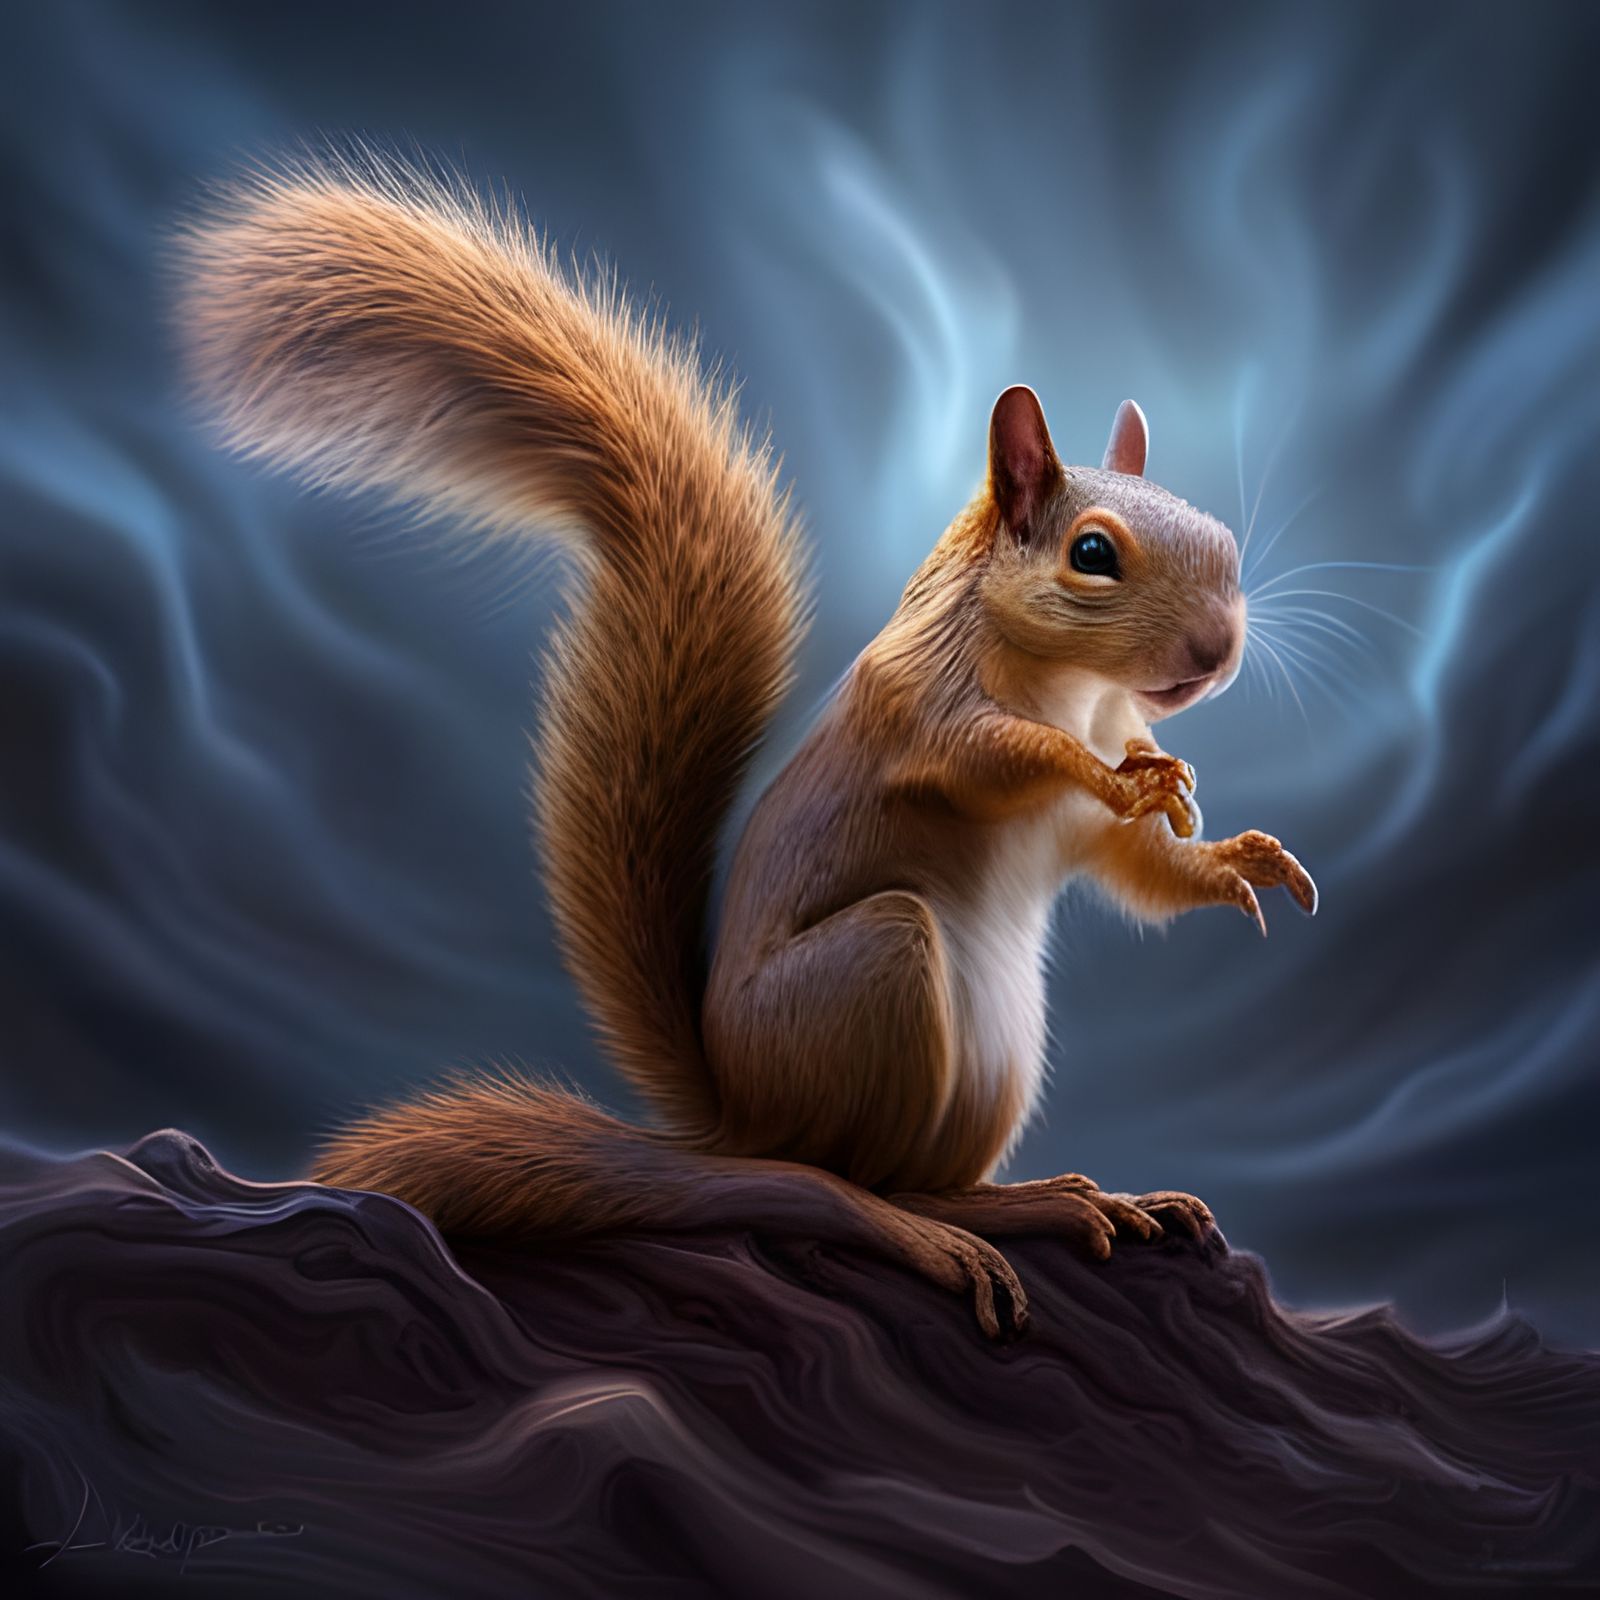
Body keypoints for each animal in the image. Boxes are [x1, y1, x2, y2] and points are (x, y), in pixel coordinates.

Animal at [180, 158, 1316, 1339]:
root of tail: (738, 1118)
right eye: (1092, 554)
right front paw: (1110, 773)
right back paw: (972, 1224)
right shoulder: (920, 711)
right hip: (880, 973)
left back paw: (1066, 1196)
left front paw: (1234, 854)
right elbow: (993, 755)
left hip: (997, 1050)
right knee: (849, 1181)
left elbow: (1140, 868)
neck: (1078, 690)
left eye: (1217, 533)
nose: (1218, 650)